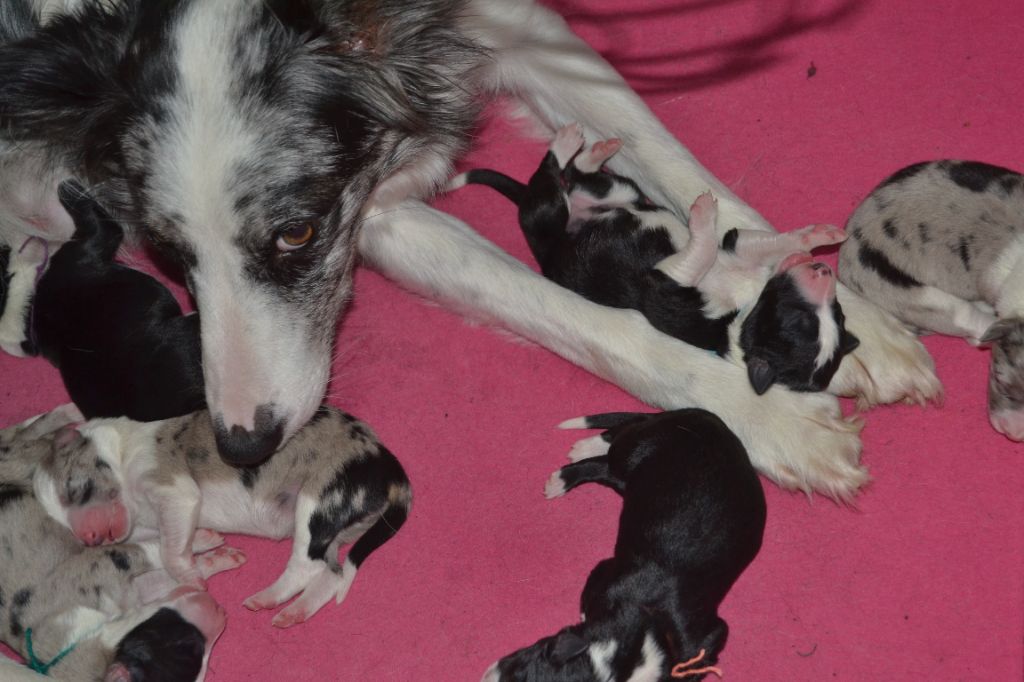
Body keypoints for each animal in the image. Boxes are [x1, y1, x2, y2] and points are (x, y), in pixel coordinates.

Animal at [0, 405, 241, 675]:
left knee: (24, 435)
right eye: (191, 648)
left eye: (74, 491)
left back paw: (66, 416)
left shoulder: (107, 558)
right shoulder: (133, 582)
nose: (89, 539)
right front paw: (210, 556)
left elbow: (151, 550)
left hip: (23, 457)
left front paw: (199, 549)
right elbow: (162, 566)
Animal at [34, 403, 413, 626]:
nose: (89, 538)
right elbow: (164, 542)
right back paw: (293, 612)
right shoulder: (146, 525)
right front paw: (205, 541)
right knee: (330, 574)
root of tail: (391, 469)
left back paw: (266, 598)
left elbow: (171, 552)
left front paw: (192, 578)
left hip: (316, 502)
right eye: (63, 525)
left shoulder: (175, 492)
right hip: (331, 527)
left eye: (74, 489)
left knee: (306, 566)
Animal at [452, 123, 860, 393]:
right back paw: (592, 147)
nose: (824, 271)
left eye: (830, 318)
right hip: (619, 190)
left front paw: (702, 216)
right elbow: (756, 241)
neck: (741, 312)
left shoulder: (666, 283)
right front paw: (816, 238)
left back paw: (569, 145)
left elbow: (703, 248)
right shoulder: (737, 244)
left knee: (552, 182)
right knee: (576, 174)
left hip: (551, 214)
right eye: (806, 321)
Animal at [483, 405, 765, 675]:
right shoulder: (605, 573)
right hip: (638, 450)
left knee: (610, 456)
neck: (647, 628)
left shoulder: (705, 635)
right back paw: (573, 463)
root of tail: (700, 415)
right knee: (611, 453)